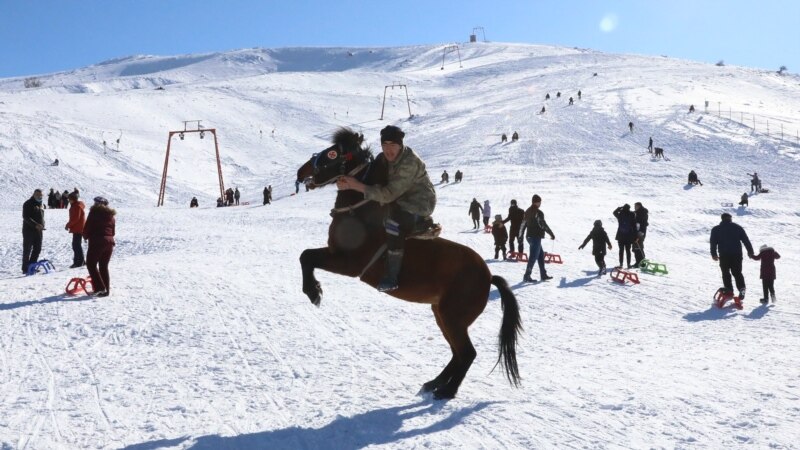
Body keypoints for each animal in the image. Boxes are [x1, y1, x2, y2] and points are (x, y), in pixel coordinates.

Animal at [296, 128, 520, 400]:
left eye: (333, 153)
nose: (302, 172)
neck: (360, 213)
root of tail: (488, 276)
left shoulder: (349, 264)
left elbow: (307, 256)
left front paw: (313, 292)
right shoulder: (335, 254)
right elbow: (305, 255)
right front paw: (314, 290)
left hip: (453, 318)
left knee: (467, 353)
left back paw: (447, 391)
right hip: (442, 314)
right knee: (457, 353)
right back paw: (434, 383)